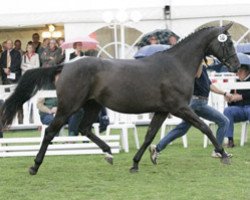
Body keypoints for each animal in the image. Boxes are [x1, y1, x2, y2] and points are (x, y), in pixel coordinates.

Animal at [0, 22, 240, 174]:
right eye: (227, 42)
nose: (236, 66)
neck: (176, 64)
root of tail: (65, 66)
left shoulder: (162, 110)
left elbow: (149, 136)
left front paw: (135, 163)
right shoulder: (180, 108)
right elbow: (205, 127)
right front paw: (224, 155)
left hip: (92, 105)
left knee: (85, 128)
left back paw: (108, 153)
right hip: (69, 106)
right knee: (51, 132)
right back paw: (34, 166)